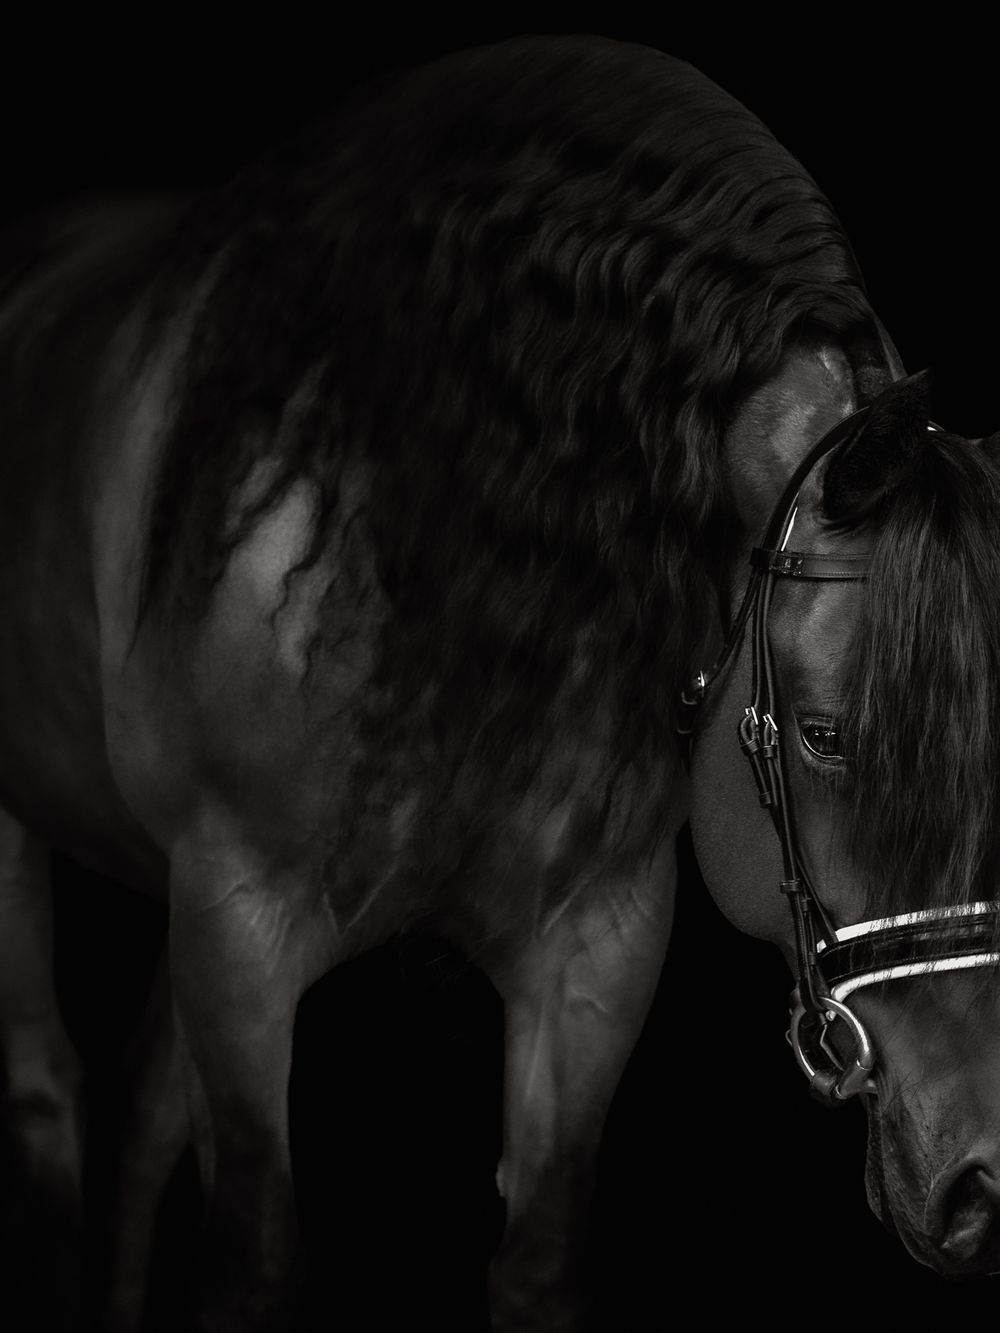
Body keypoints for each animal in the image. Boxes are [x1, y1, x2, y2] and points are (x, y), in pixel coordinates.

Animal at [2, 31, 1000, 1332]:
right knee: (48, 1093)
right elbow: (252, 1263)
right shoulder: (236, 921)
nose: (981, 1177)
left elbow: (536, 1262)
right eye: (826, 735)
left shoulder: (593, 948)